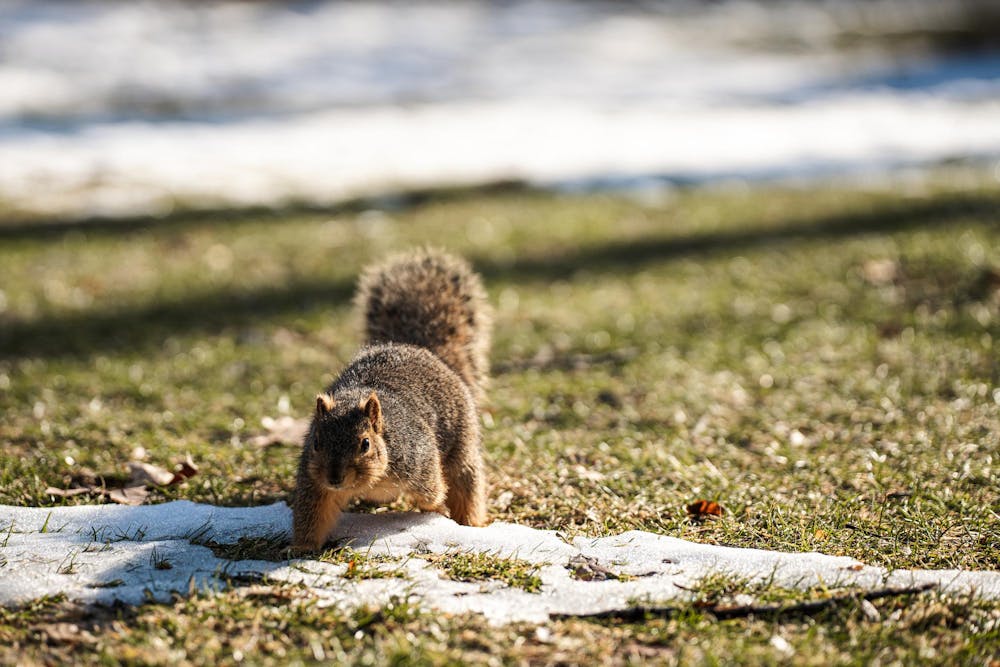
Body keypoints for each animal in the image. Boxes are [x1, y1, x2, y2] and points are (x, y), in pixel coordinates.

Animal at [290, 248, 492, 551]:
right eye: (316, 442)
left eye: (365, 444)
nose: (335, 478)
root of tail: (424, 350)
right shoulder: (314, 482)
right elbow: (312, 515)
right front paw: (301, 548)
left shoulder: (421, 458)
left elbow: (433, 492)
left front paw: (438, 510)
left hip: (462, 443)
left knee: (466, 484)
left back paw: (471, 521)